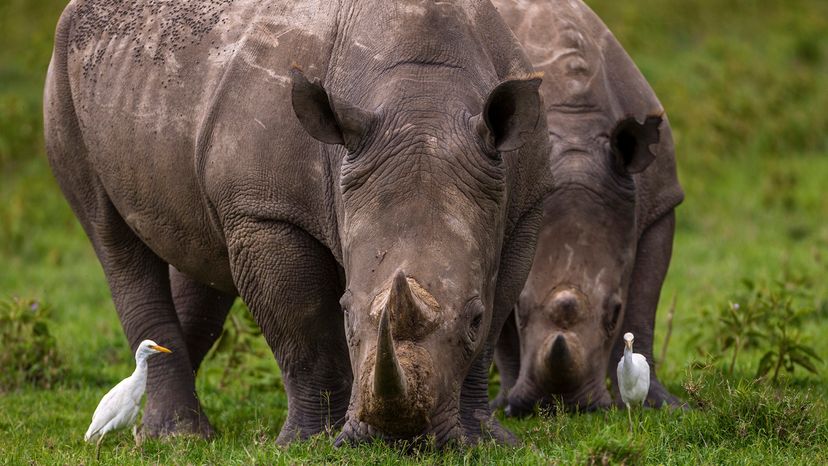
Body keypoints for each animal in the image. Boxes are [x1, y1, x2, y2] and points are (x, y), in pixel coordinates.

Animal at [43, 0, 548, 446]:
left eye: (473, 316)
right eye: (346, 313)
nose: (400, 439)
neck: (422, 96)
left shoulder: (524, 207)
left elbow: (493, 324)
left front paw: (487, 438)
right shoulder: (267, 211)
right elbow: (305, 331)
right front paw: (309, 442)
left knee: (201, 254)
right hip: (63, 78)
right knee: (112, 239)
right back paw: (177, 436)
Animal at [488, 0, 684, 414]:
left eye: (613, 313)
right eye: (521, 310)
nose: (560, 404)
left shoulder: (660, 201)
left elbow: (643, 305)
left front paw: (661, 403)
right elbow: (500, 329)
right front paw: (505, 404)